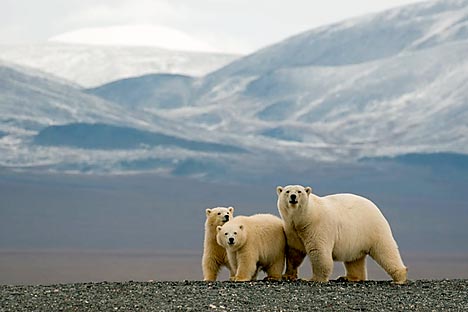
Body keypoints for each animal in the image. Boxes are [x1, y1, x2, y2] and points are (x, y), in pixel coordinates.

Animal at [276, 184, 408, 284]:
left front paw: (313, 279)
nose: (293, 197)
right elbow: (294, 252)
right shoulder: (292, 230)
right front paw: (288, 275)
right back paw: (348, 277)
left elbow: (319, 251)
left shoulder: (317, 227)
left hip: (373, 229)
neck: (306, 217)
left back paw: (399, 278)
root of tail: (376, 208)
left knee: (386, 251)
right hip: (356, 238)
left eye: (299, 191)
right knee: (355, 260)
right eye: (287, 191)